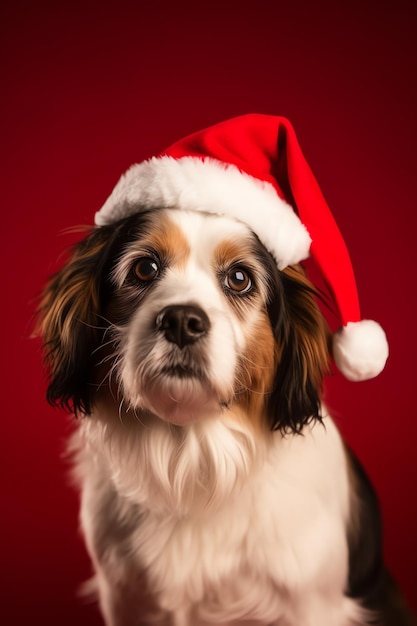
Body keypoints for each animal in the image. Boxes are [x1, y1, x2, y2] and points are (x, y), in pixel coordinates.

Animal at [37, 113, 412, 624]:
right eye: (143, 269)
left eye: (239, 279)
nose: (181, 320)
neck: (193, 454)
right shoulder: (127, 599)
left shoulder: (311, 603)